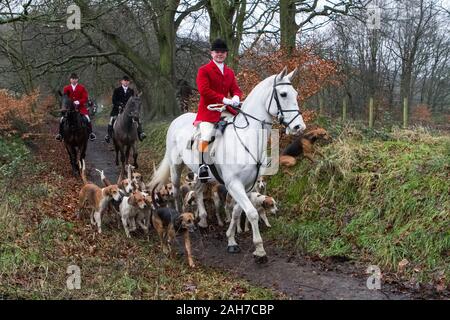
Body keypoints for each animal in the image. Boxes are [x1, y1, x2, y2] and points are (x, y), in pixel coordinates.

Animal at [149, 67, 308, 262]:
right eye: (284, 94)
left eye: (296, 94)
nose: (299, 127)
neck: (247, 138)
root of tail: (178, 119)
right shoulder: (234, 184)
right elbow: (252, 213)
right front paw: (260, 250)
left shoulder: (247, 185)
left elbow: (237, 212)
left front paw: (231, 240)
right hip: (175, 167)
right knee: (177, 192)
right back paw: (178, 220)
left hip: (201, 174)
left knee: (198, 191)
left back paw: (203, 219)